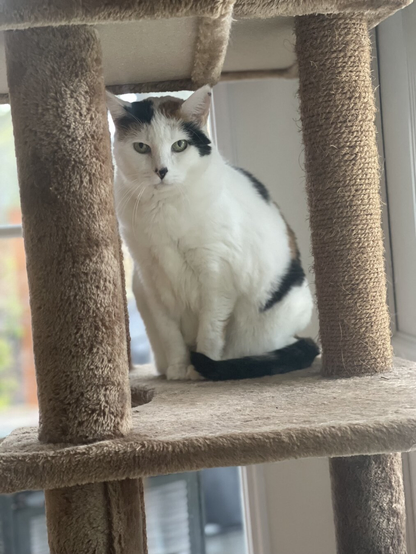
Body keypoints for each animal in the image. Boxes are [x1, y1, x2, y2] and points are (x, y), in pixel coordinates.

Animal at [106, 86, 318, 380]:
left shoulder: (217, 274)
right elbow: (169, 333)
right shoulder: (151, 278)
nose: (161, 171)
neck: (164, 209)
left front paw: (200, 368)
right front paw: (178, 368)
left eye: (179, 145)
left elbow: (210, 326)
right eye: (141, 147)